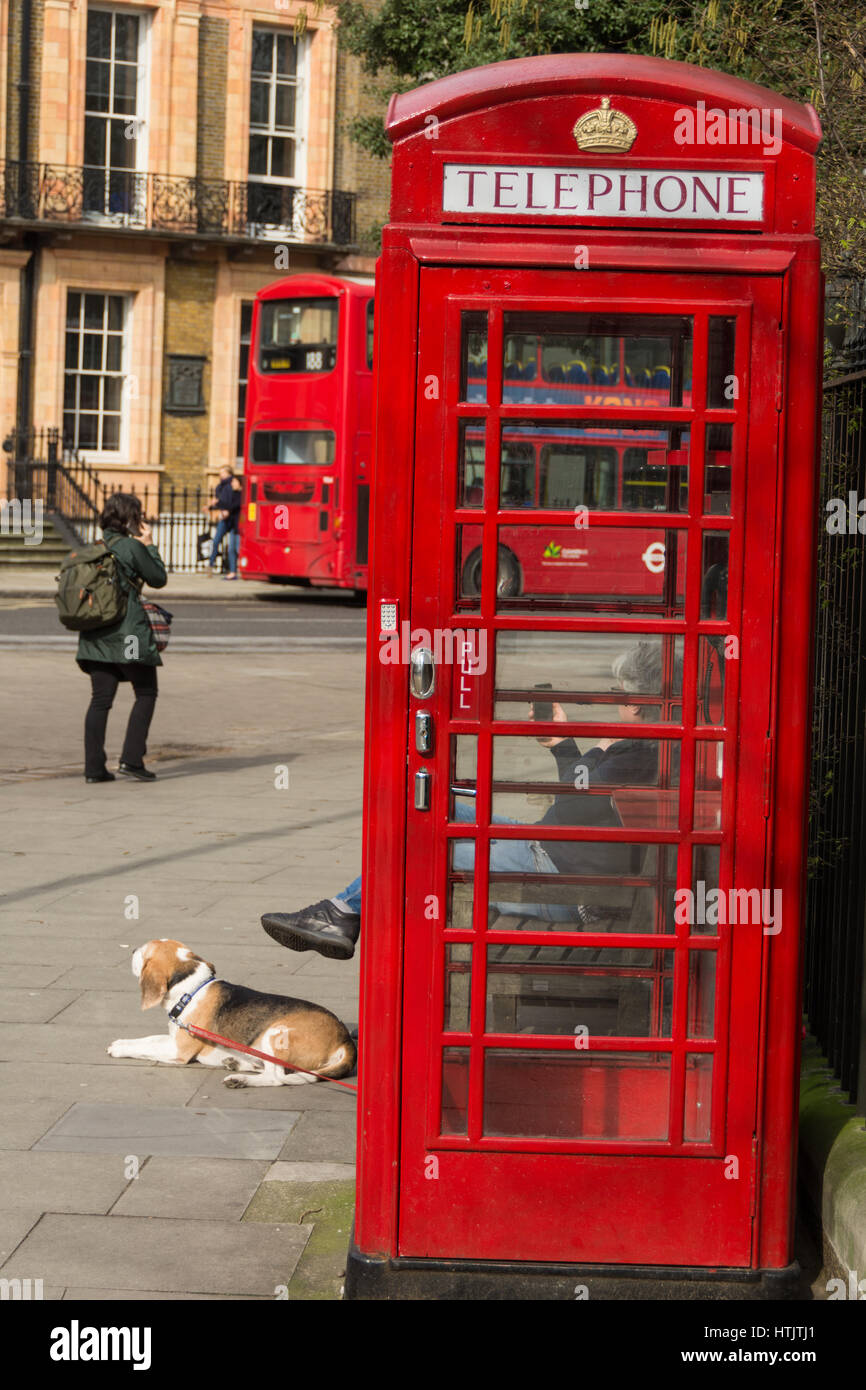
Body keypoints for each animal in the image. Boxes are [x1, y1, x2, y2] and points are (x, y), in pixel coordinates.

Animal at [107, 945, 355, 1084]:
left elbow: (145, 1049)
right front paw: (121, 1042)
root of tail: (344, 1038)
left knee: (277, 1078)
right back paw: (236, 1064)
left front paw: (120, 1050)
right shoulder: (173, 1038)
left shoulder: (177, 1051)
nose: (131, 950)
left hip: (275, 1034)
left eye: (143, 952)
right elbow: (148, 1040)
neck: (191, 990)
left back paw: (240, 1079)